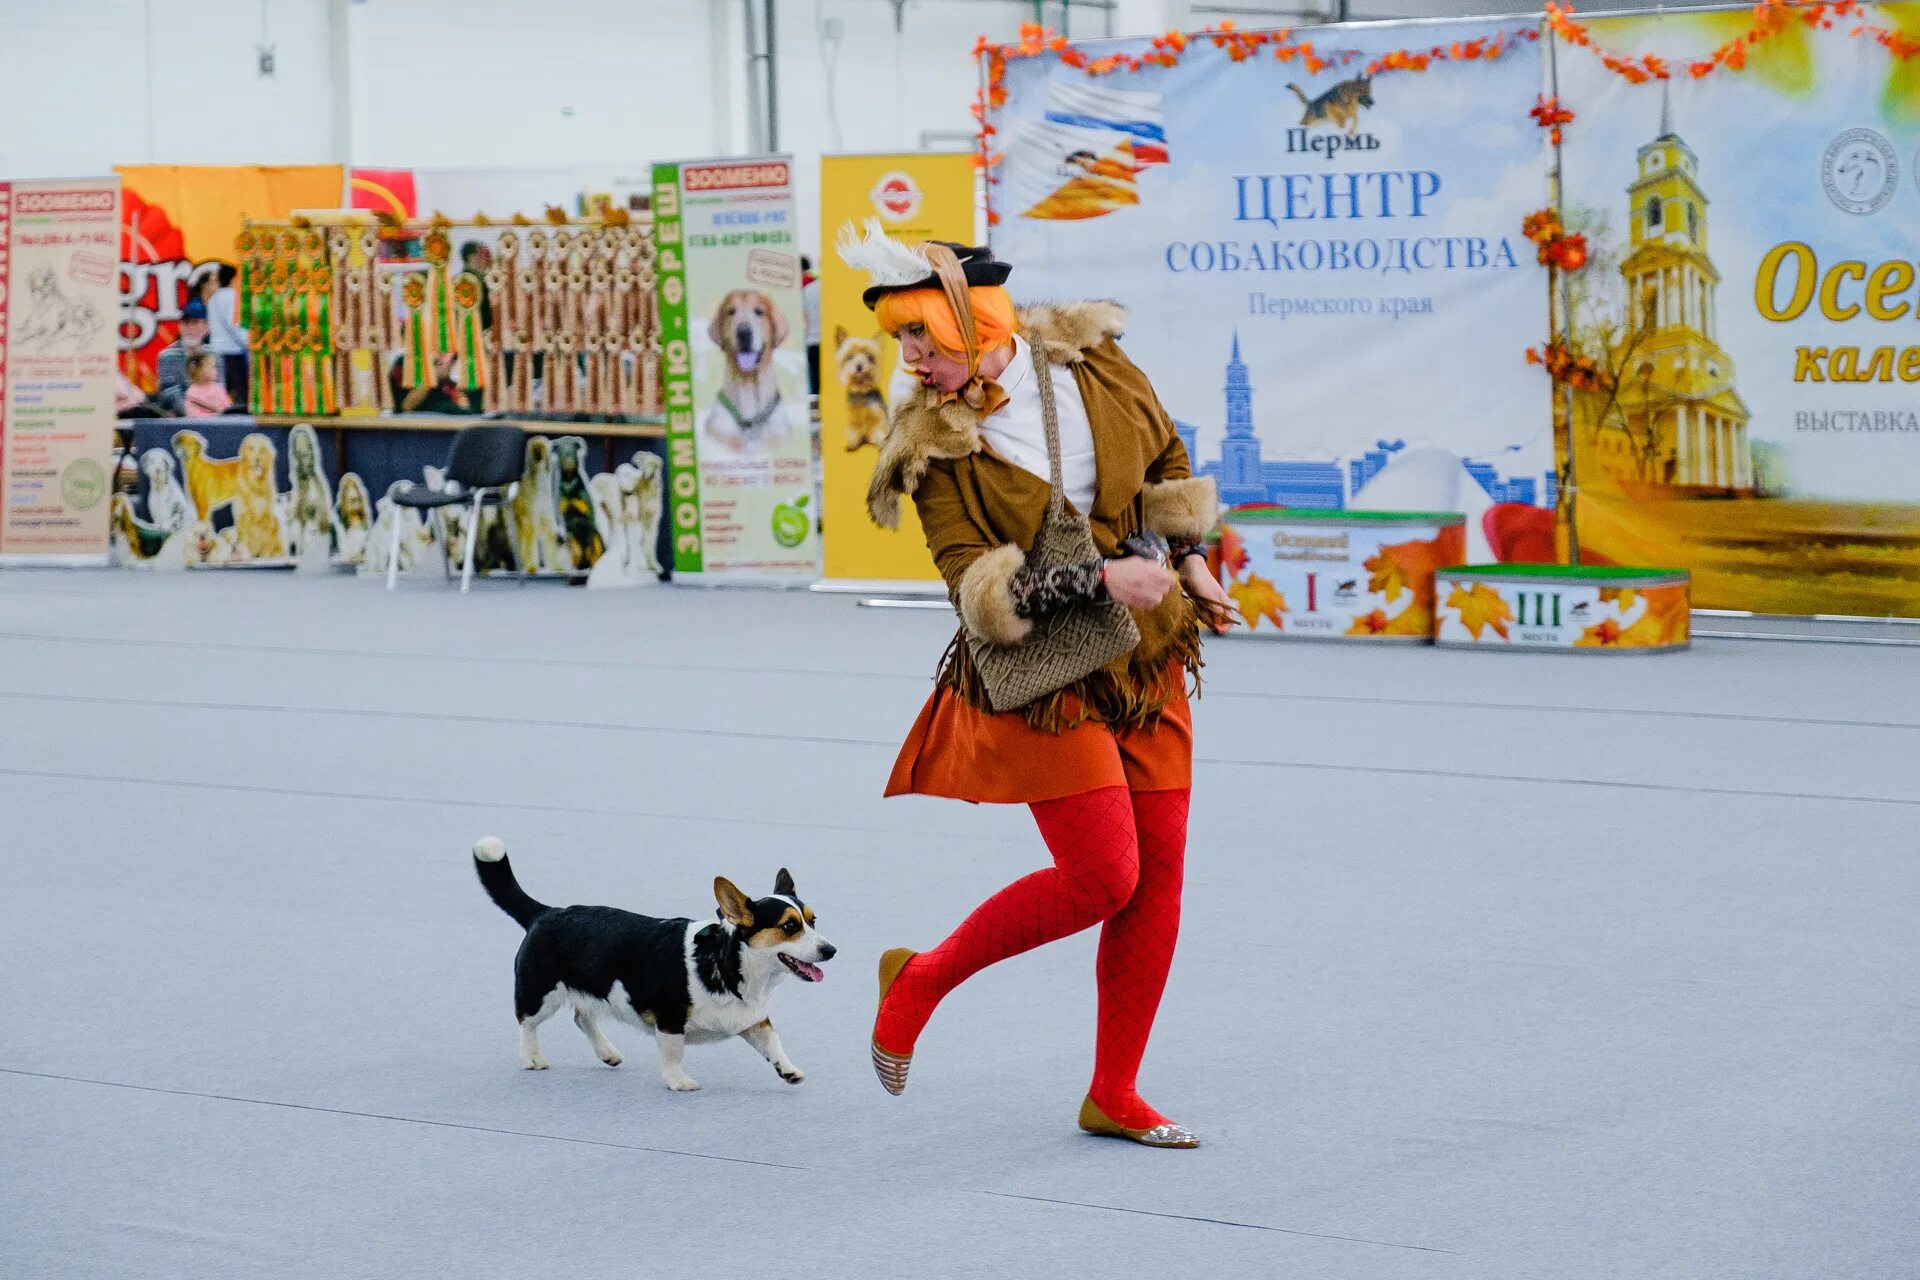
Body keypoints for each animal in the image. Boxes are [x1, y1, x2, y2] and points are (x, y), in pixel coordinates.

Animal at [472, 840, 833, 1090]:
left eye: (813, 921)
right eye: (790, 926)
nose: (831, 950)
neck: (729, 962)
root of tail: (545, 912)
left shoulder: (755, 1021)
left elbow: (773, 1042)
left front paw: (788, 1071)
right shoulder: (670, 1019)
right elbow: (674, 1053)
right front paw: (679, 1082)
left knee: (582, 1015)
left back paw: (608, 1052)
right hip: (540, 994)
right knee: (527, 1021)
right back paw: (532, 1057)